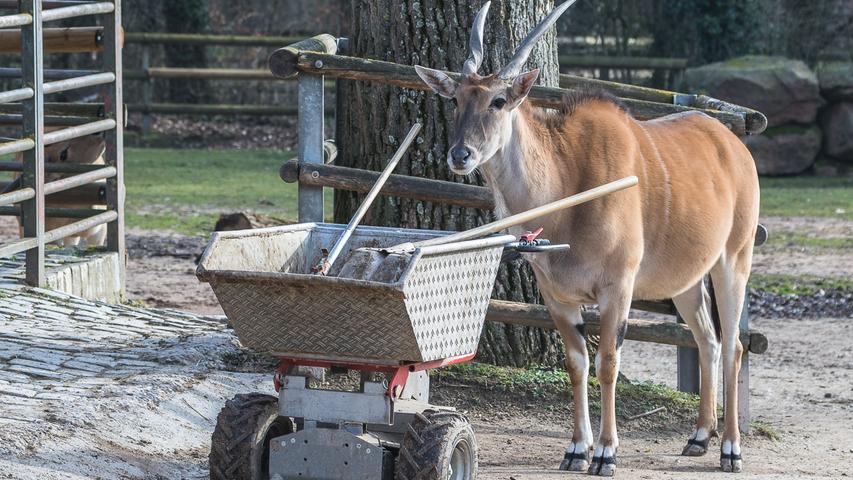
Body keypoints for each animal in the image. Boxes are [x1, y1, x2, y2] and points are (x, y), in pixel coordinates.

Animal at [414, 0, 760, 474]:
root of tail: (734, 143)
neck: (568, 179)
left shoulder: (617, 287)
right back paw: (698, 437)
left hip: (733, 261)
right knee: (707, 339)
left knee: (734, 346)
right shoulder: (556, 296)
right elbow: (576, 363)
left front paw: (607, 453)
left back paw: (730, 449)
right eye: (456, 99)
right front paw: (577, 448)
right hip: (687, 281)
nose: (459, 155)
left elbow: (607, 362)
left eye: (499, 101)